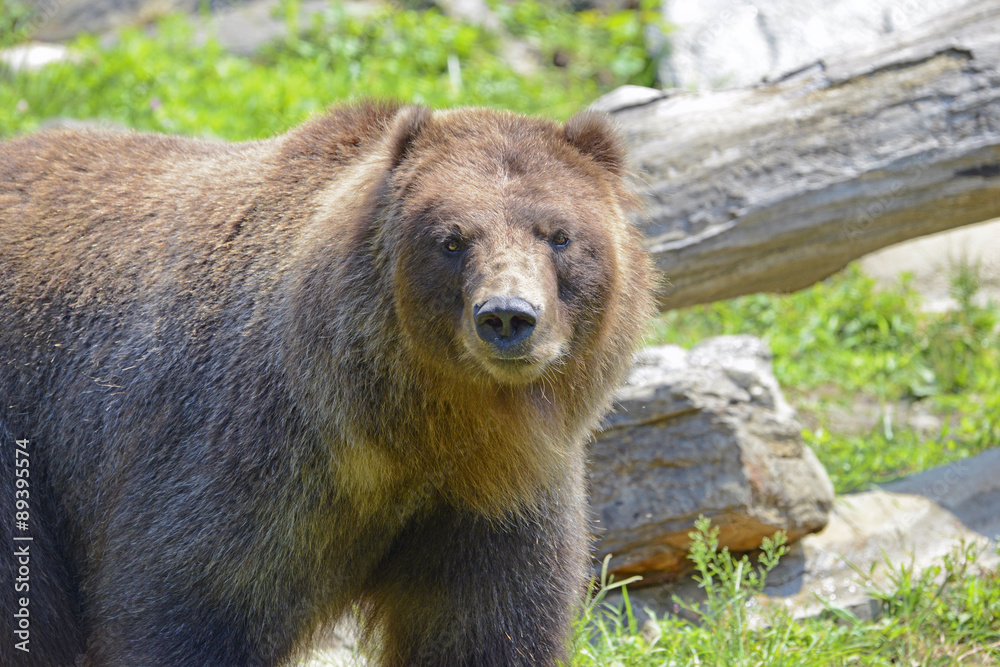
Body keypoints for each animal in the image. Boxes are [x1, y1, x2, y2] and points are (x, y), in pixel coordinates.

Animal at [0, 99, 656, 666]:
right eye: (451, 239)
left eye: (559, 235)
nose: (507, 316)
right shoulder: (240, 463)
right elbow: (181, 604)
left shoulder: (494, 504)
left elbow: (484, 631)